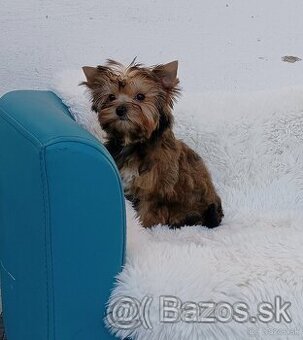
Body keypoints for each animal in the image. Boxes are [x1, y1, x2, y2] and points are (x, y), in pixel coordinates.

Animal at [82, 59, 224, 228]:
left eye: (140, 96)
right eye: (111, 97)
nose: (121, 109)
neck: (134, 142)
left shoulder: (154, 188)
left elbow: (148, 210)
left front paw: (143, 226)